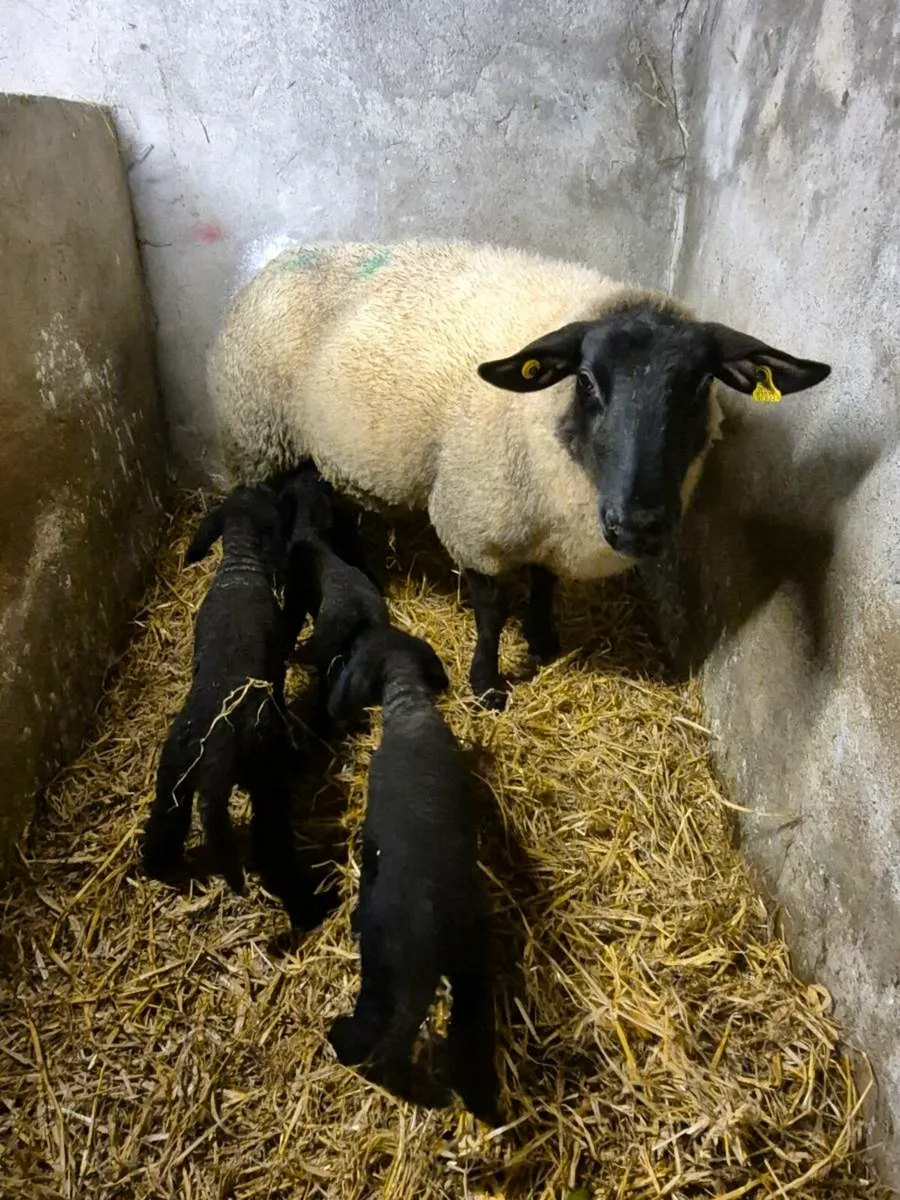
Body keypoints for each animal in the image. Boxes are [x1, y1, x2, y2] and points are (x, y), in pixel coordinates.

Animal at [140, 484, 329, 931]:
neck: (239, 564)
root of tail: (211, 762)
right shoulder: (275, 665)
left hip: (172, 777)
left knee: (164, 826)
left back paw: (156, 868)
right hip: (265, 776)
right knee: (272, 851)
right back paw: (309, 907)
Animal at [208, 240, 832, 708]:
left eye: (701, 385)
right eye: (587, 380)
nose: (637, 525)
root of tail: (282, 257)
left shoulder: (546, 525)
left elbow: (544, 583)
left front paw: (544, 639)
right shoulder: (475, 522)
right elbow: (491, 611)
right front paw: (487, 685)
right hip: (257, 436)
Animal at [326, 625, 501, 1123]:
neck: (408, 704)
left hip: (382, 970)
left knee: (378, 1033)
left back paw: (345, 1042)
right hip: (471, 966)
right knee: (470, 1029)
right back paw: (476, 1092)